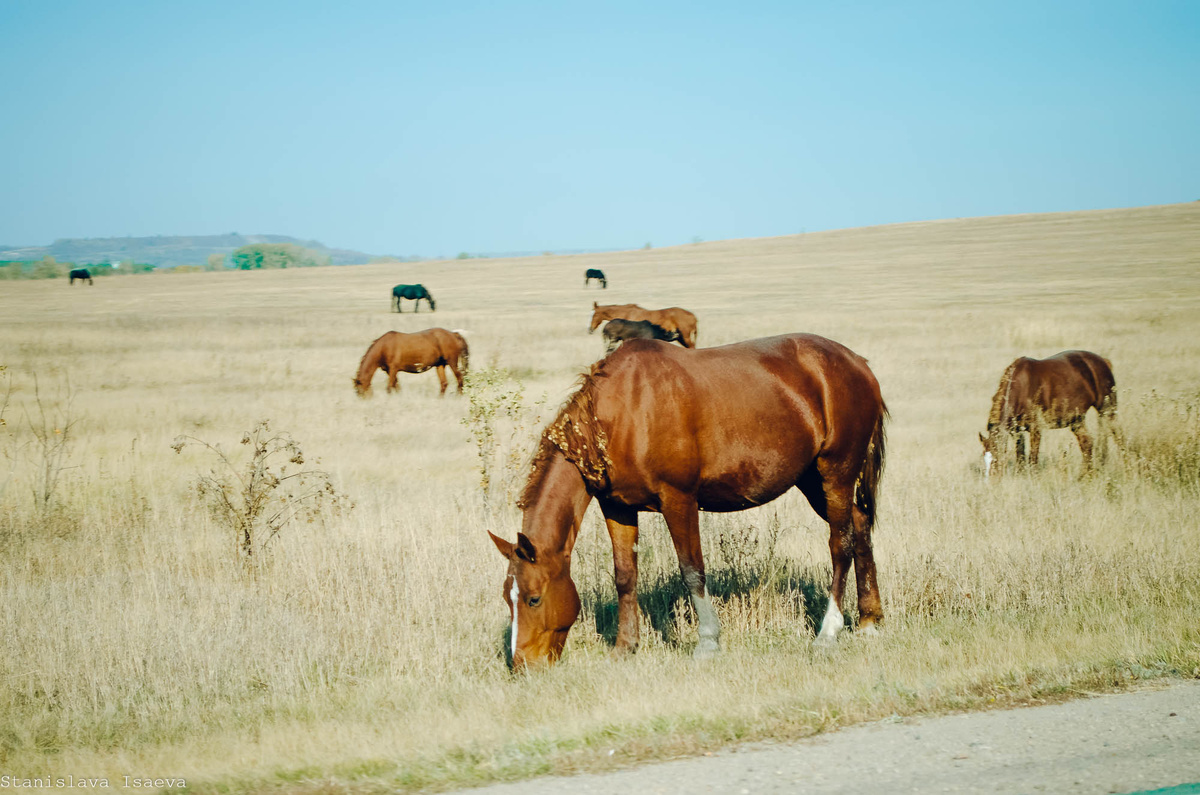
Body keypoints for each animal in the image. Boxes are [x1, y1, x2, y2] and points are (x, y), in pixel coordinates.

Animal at [489, 336, 892, 672]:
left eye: (533, 599)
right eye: (508, 599)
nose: (523, 666)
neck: (622, 413)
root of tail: (858, 364)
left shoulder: (678, 499)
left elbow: (692, 570)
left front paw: (708, 642)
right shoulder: (617, 507)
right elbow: (625, 575)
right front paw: (625, 647)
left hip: (835, 472)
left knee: (840, 545)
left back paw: (829, 631)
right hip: (812, 480)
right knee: (860, 530)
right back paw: (869, 620)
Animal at [979, 350, 1118, 475]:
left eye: (997, 459)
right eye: (984, 458)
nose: (990, 482)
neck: (1022, 386)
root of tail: (1104, 361)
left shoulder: (1035, 429)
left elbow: (1033, 457)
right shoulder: (1016, 431)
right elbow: (1021, 456)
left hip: (1107, 410)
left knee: (1118, 436)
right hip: (1077, 420)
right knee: (1087, 443)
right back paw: (1085, 476)